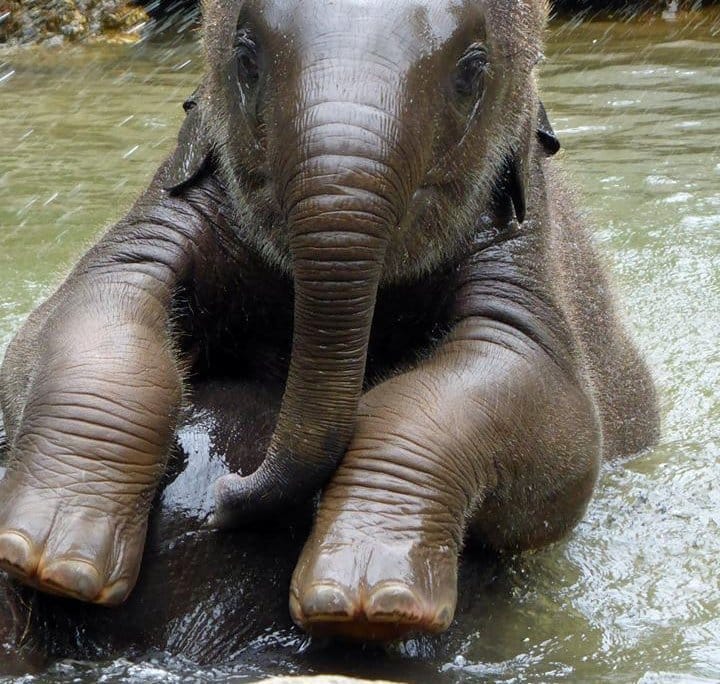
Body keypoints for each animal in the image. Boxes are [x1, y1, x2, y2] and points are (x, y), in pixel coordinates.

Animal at [0, 0, 659, 643]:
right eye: (246, 60)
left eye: (472, 72)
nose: (225, 494)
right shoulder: (177, 197)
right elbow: (83, 307)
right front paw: (50, 557)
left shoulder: (523, 241)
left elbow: (546, 403)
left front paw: (368, 599)